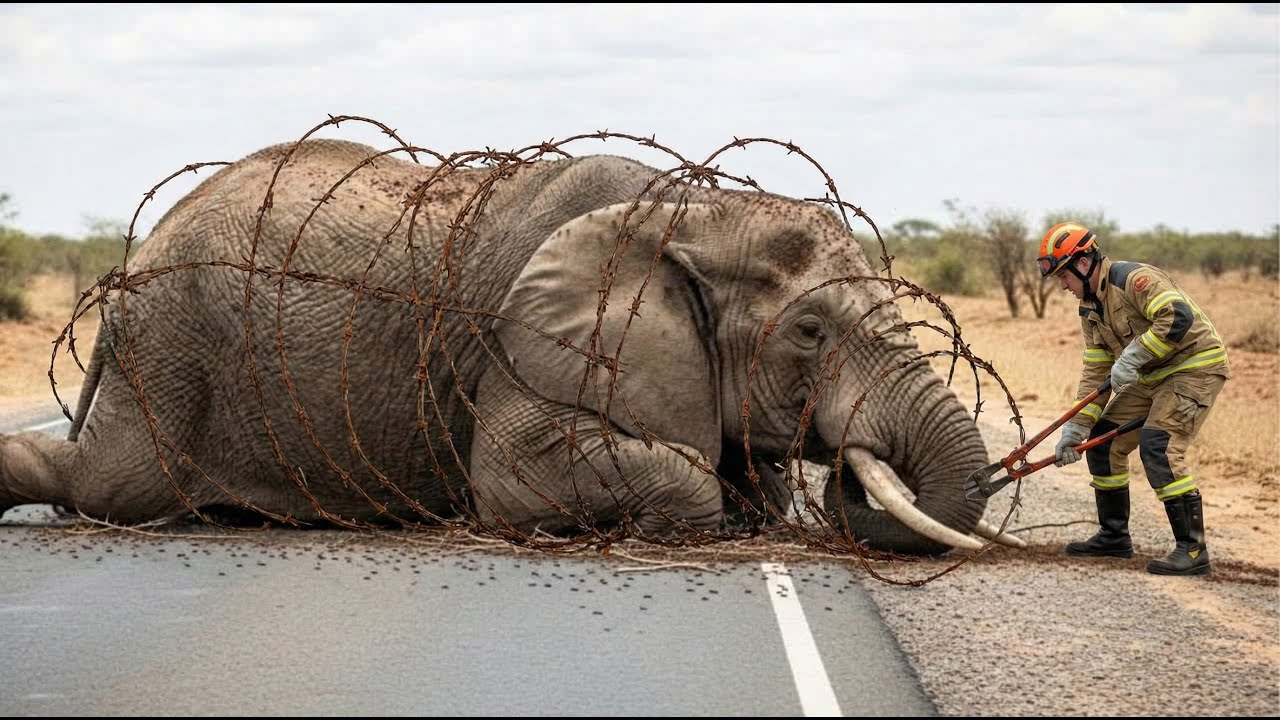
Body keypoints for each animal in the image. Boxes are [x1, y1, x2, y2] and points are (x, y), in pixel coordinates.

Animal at [0, 138, 1021, 555]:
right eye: (810, 332)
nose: (851, 462)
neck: (699, 207)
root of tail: (137, 257)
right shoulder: (531, 342)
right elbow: (515, 476)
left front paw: (759, 495)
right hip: (173, 350)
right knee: (113, 483)